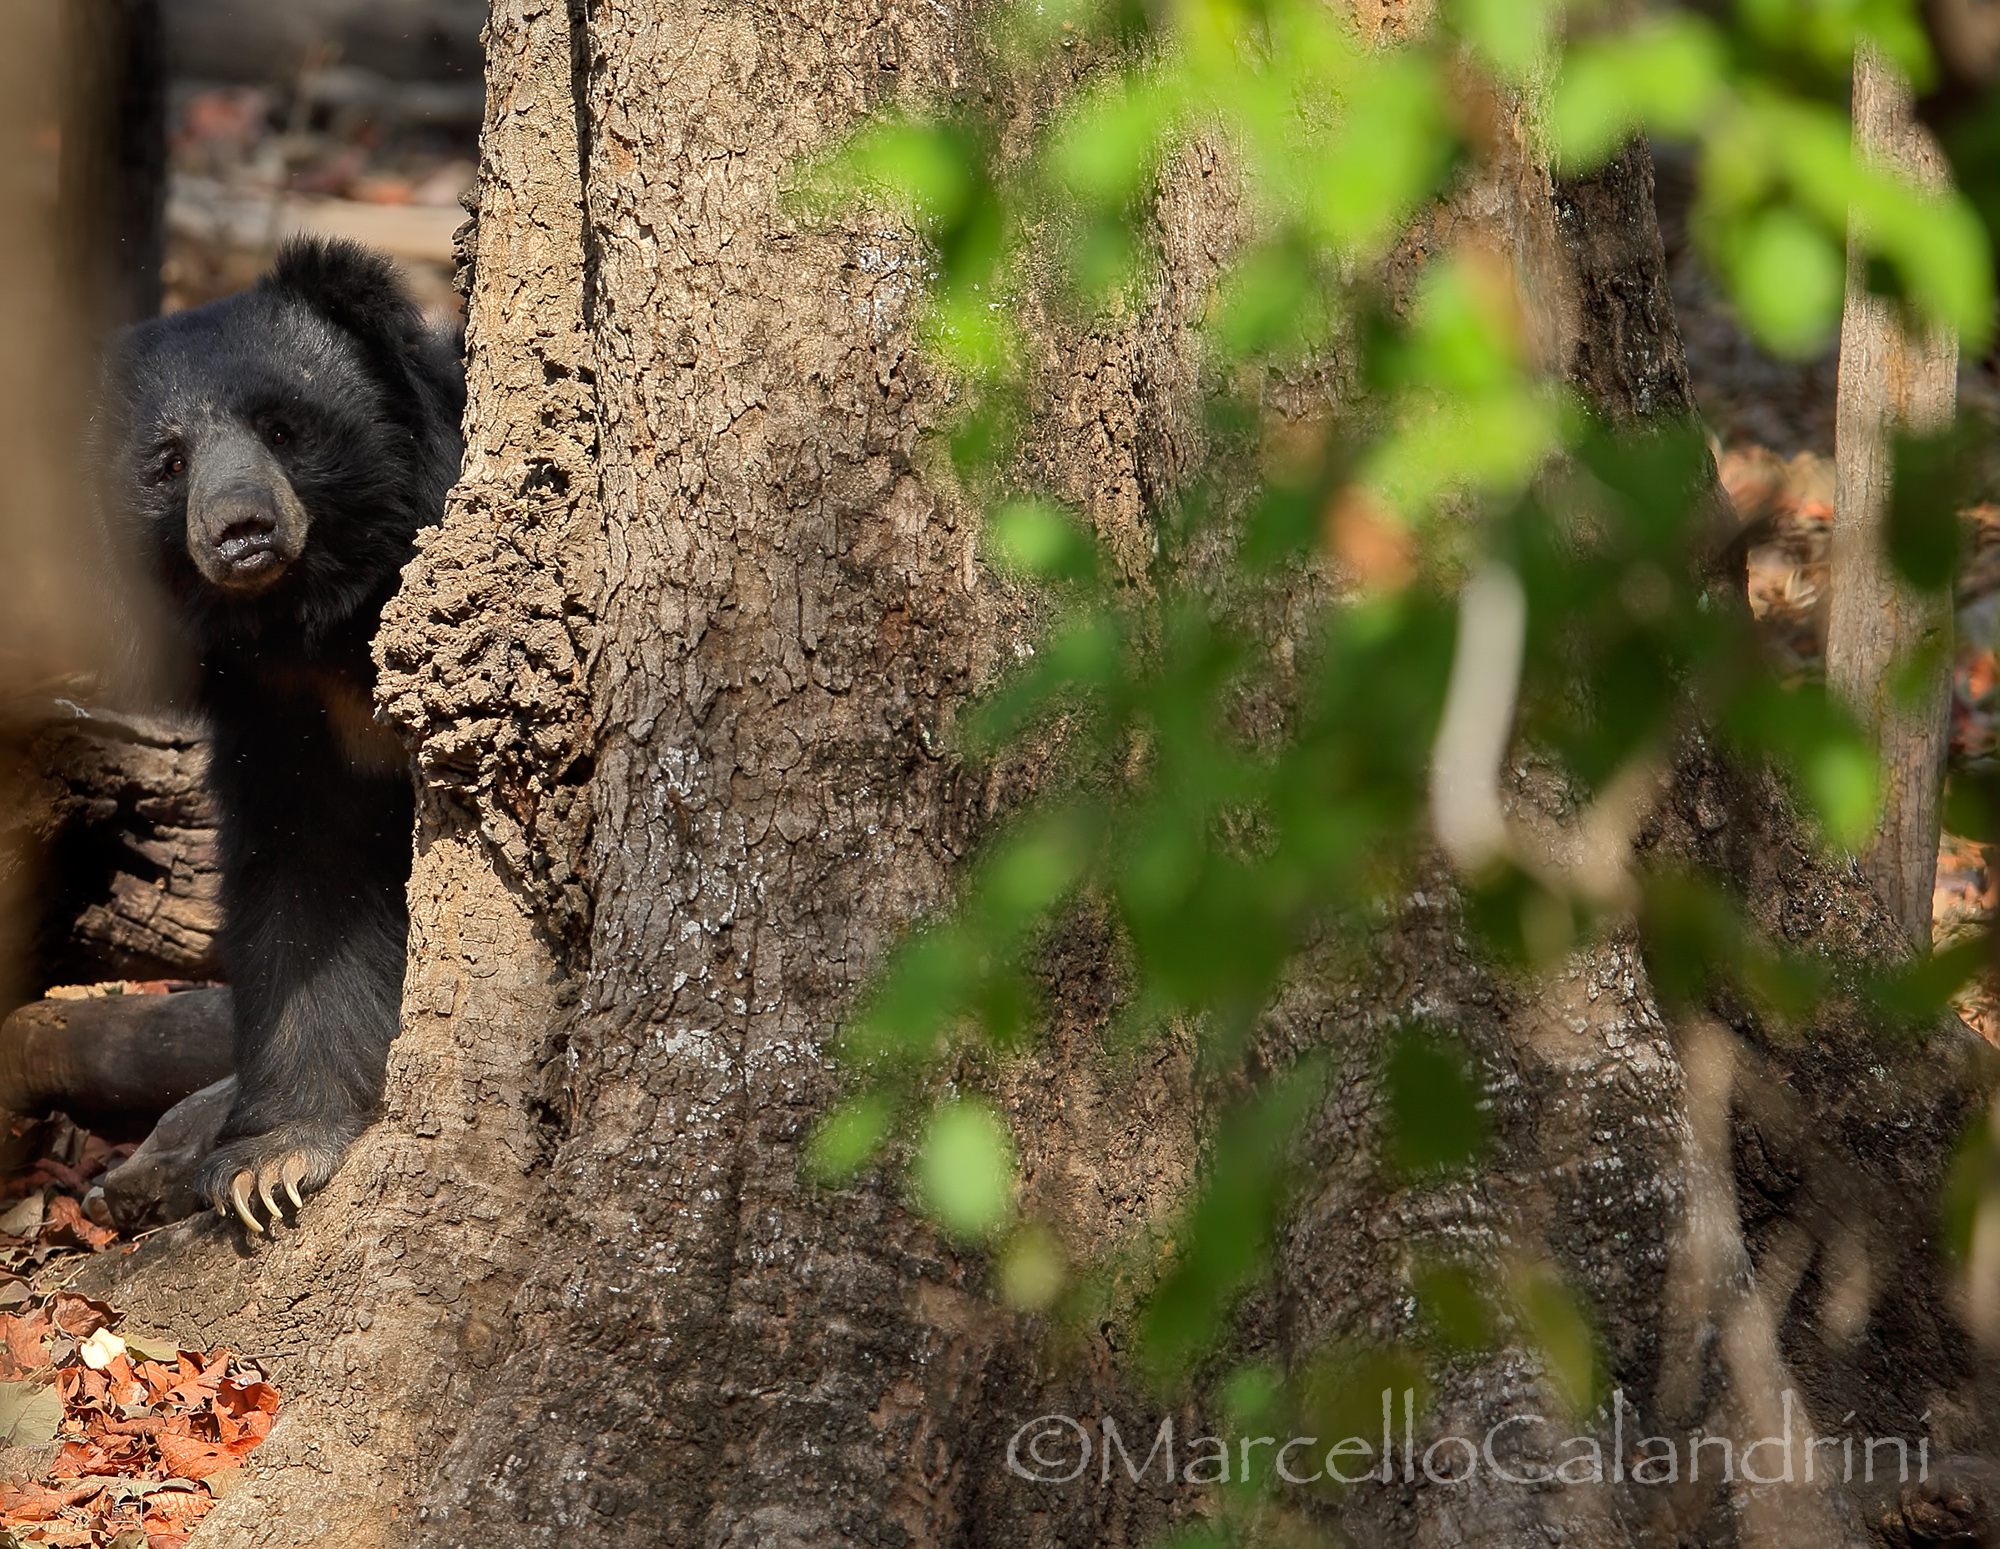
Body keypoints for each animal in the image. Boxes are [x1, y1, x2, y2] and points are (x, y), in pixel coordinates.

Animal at [97, 238, 464, 1231]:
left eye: (284, 429)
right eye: (168, 462)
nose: (241, 530)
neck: (320, 628)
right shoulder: (282, 720)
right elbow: (306, 887)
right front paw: (269, 1163)